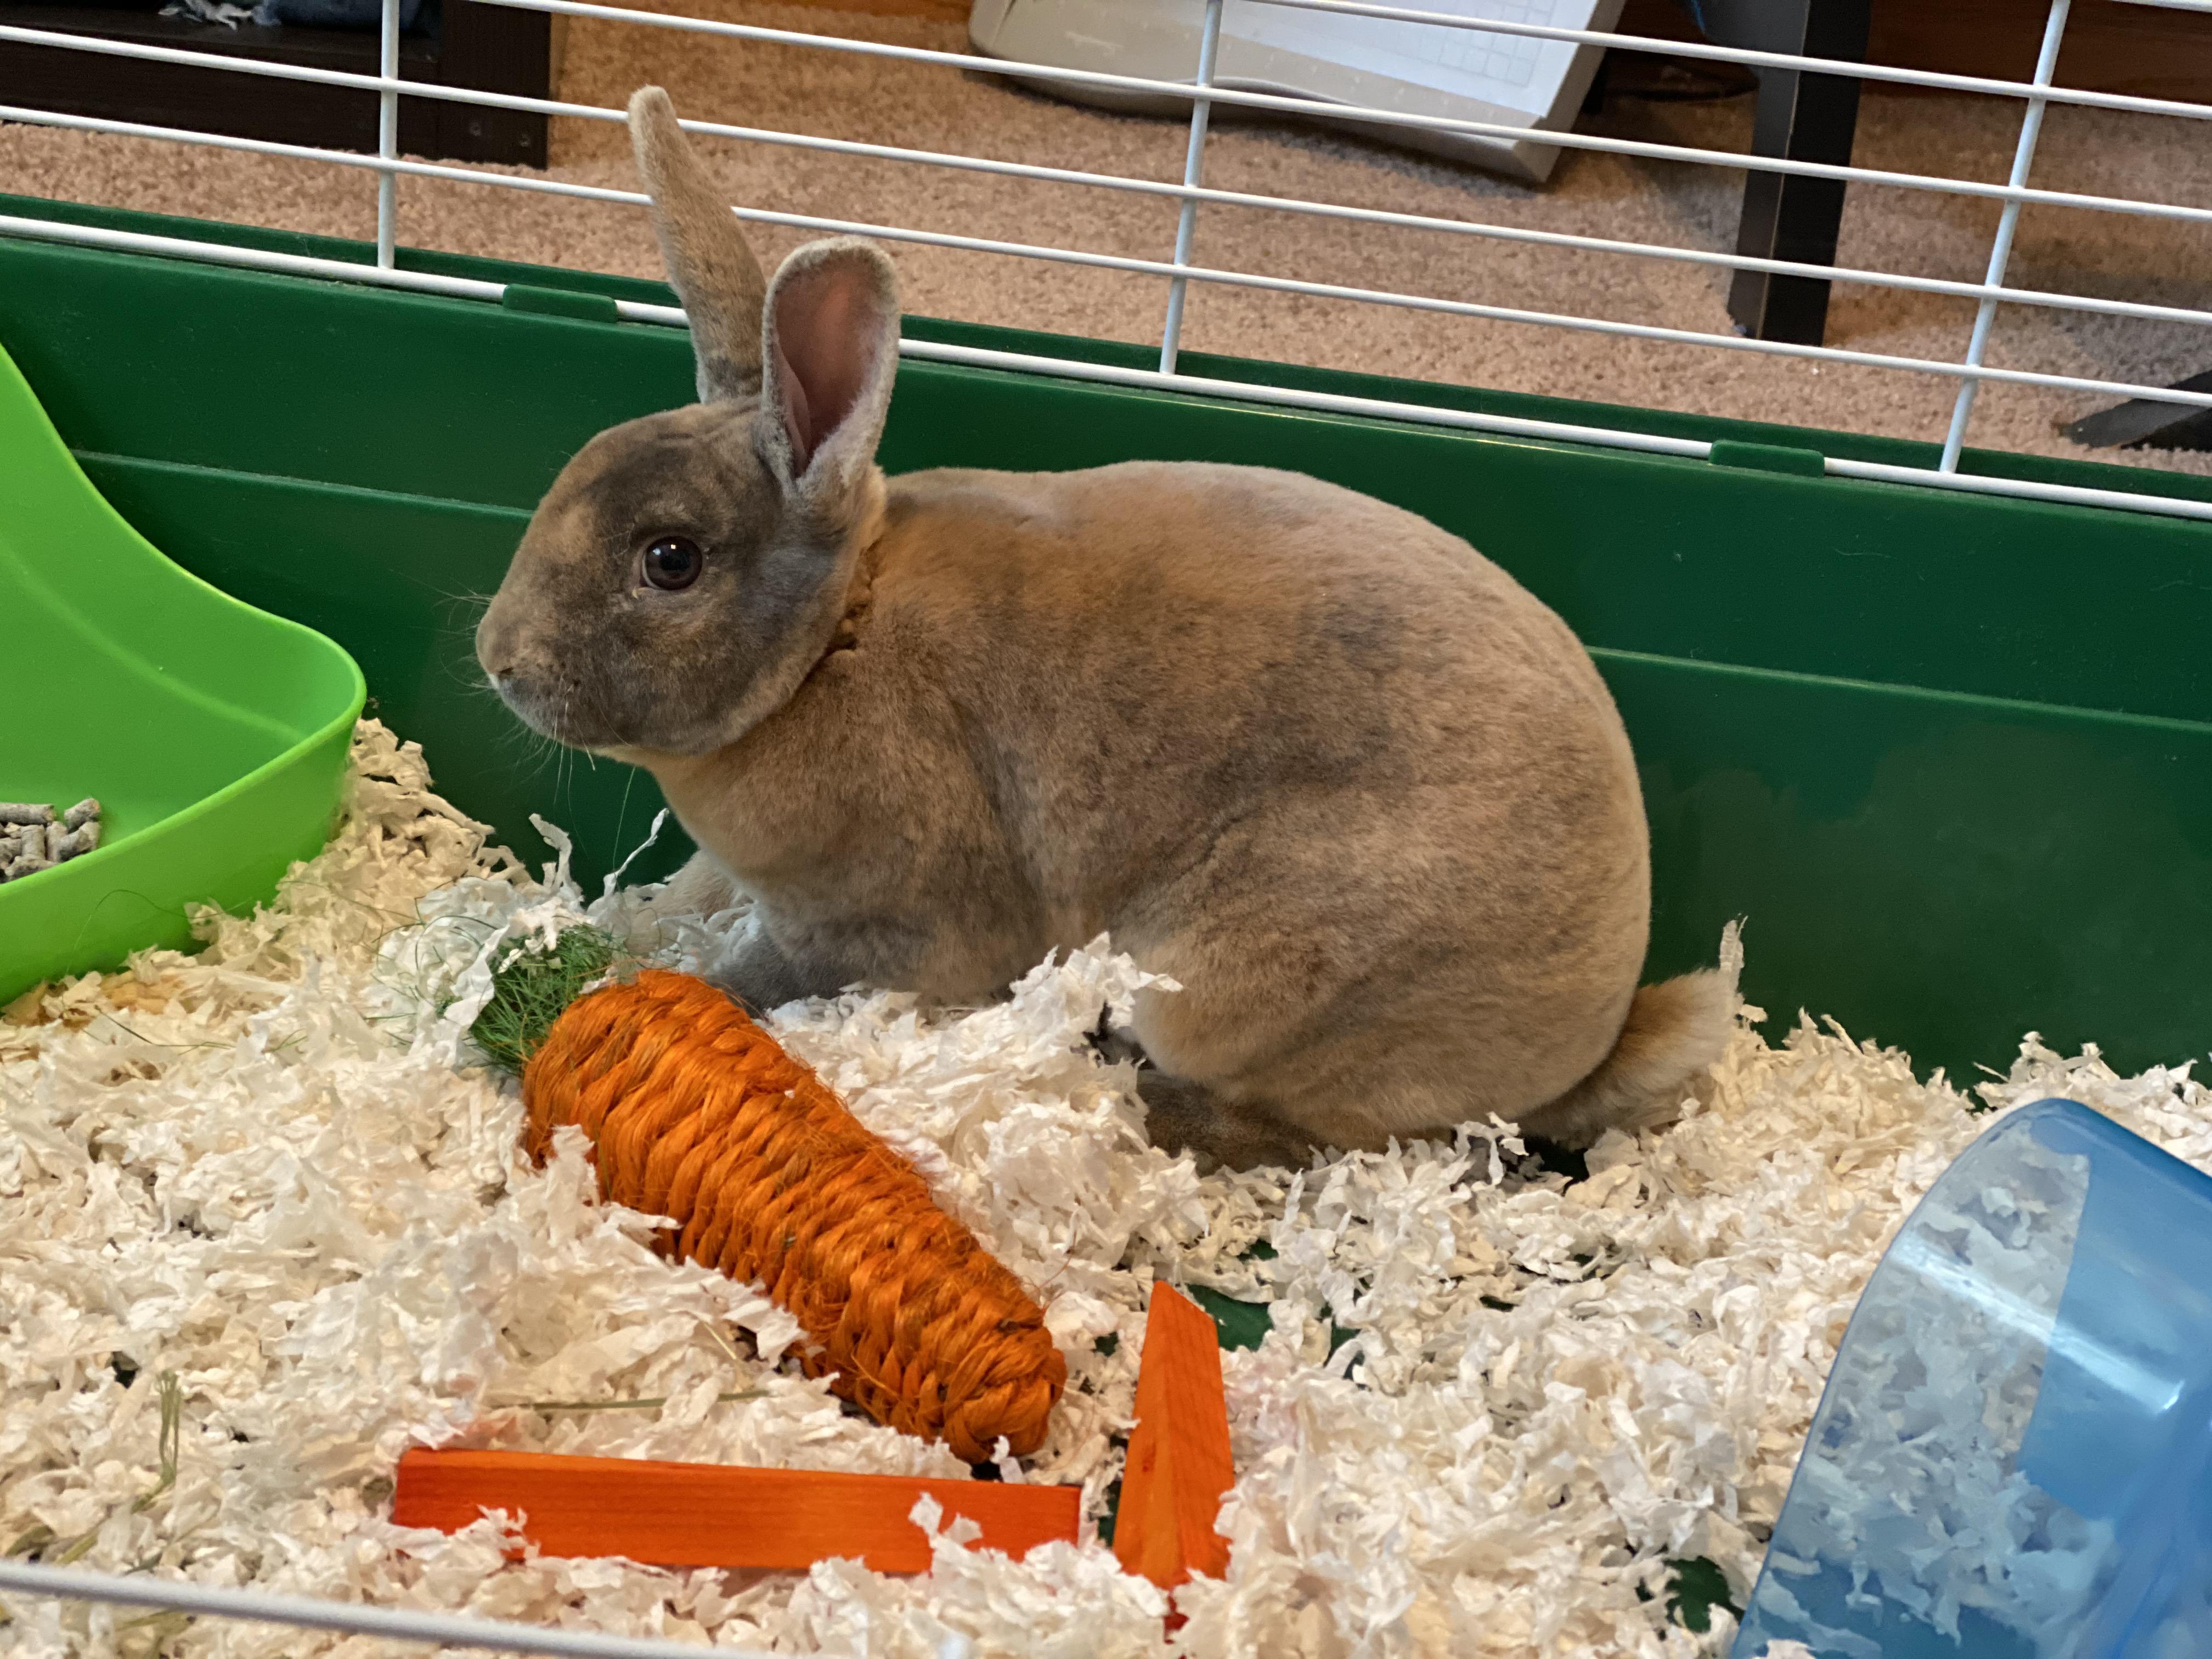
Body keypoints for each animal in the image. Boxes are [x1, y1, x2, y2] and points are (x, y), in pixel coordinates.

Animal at [475, 85, 1738, 1171]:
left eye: (670, 560)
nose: (499, 661)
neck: (835, 639)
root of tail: (1594, 1034)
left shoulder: (881, 927)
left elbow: (756, 973)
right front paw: (624, 925)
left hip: (1245, 986)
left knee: (1300, 1132)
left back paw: (1134, 1101)